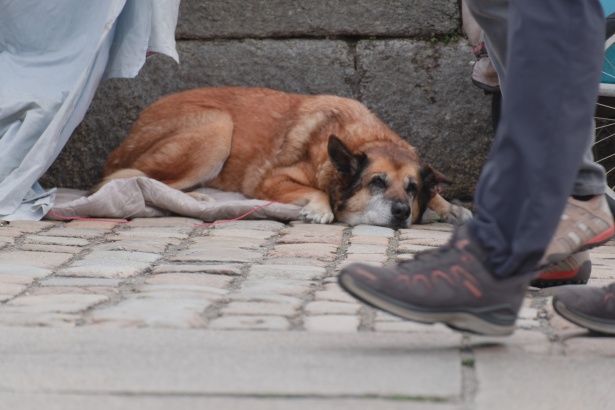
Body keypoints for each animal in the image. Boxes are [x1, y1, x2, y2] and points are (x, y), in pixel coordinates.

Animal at [96, 86, 472, 227]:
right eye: (376, 182)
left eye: (411, 189)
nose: (402, 212)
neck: (364, 135)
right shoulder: (270, 180)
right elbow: (317, 191)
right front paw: (320, 209)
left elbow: (439, 195)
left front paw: (448, 206)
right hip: (218, 127)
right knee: (125, 178)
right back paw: (195, 196)